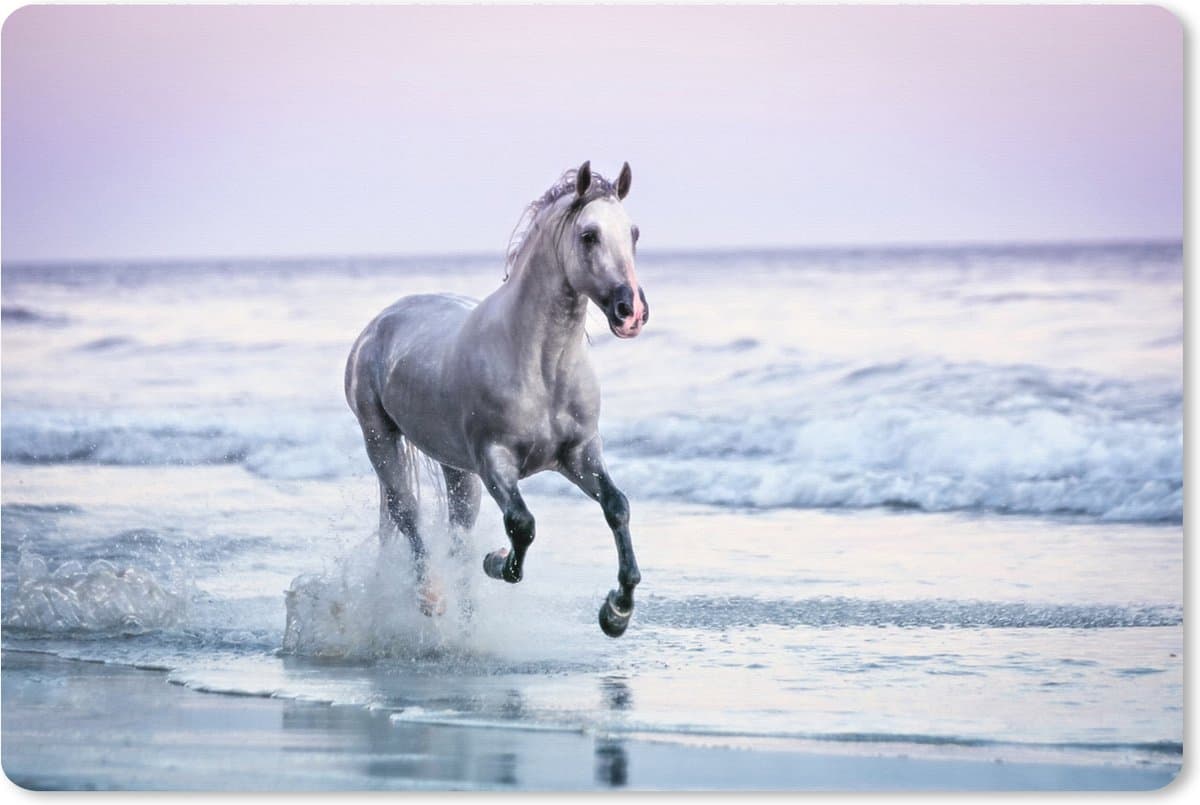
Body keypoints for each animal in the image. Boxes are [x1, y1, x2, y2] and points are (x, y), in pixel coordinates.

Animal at [344, 161, 649, 637]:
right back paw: (430, 597)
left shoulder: (579, 454)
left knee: (457, 534)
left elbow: (617, 507)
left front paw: (616, 612)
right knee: (407, 515)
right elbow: (521, 526)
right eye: (589, 235)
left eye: (632, 232)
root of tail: (378, 324)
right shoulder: (494, 461)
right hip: (380, 439)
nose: (630, 311)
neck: (541, 366)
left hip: (455, 469)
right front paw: (497, 561)